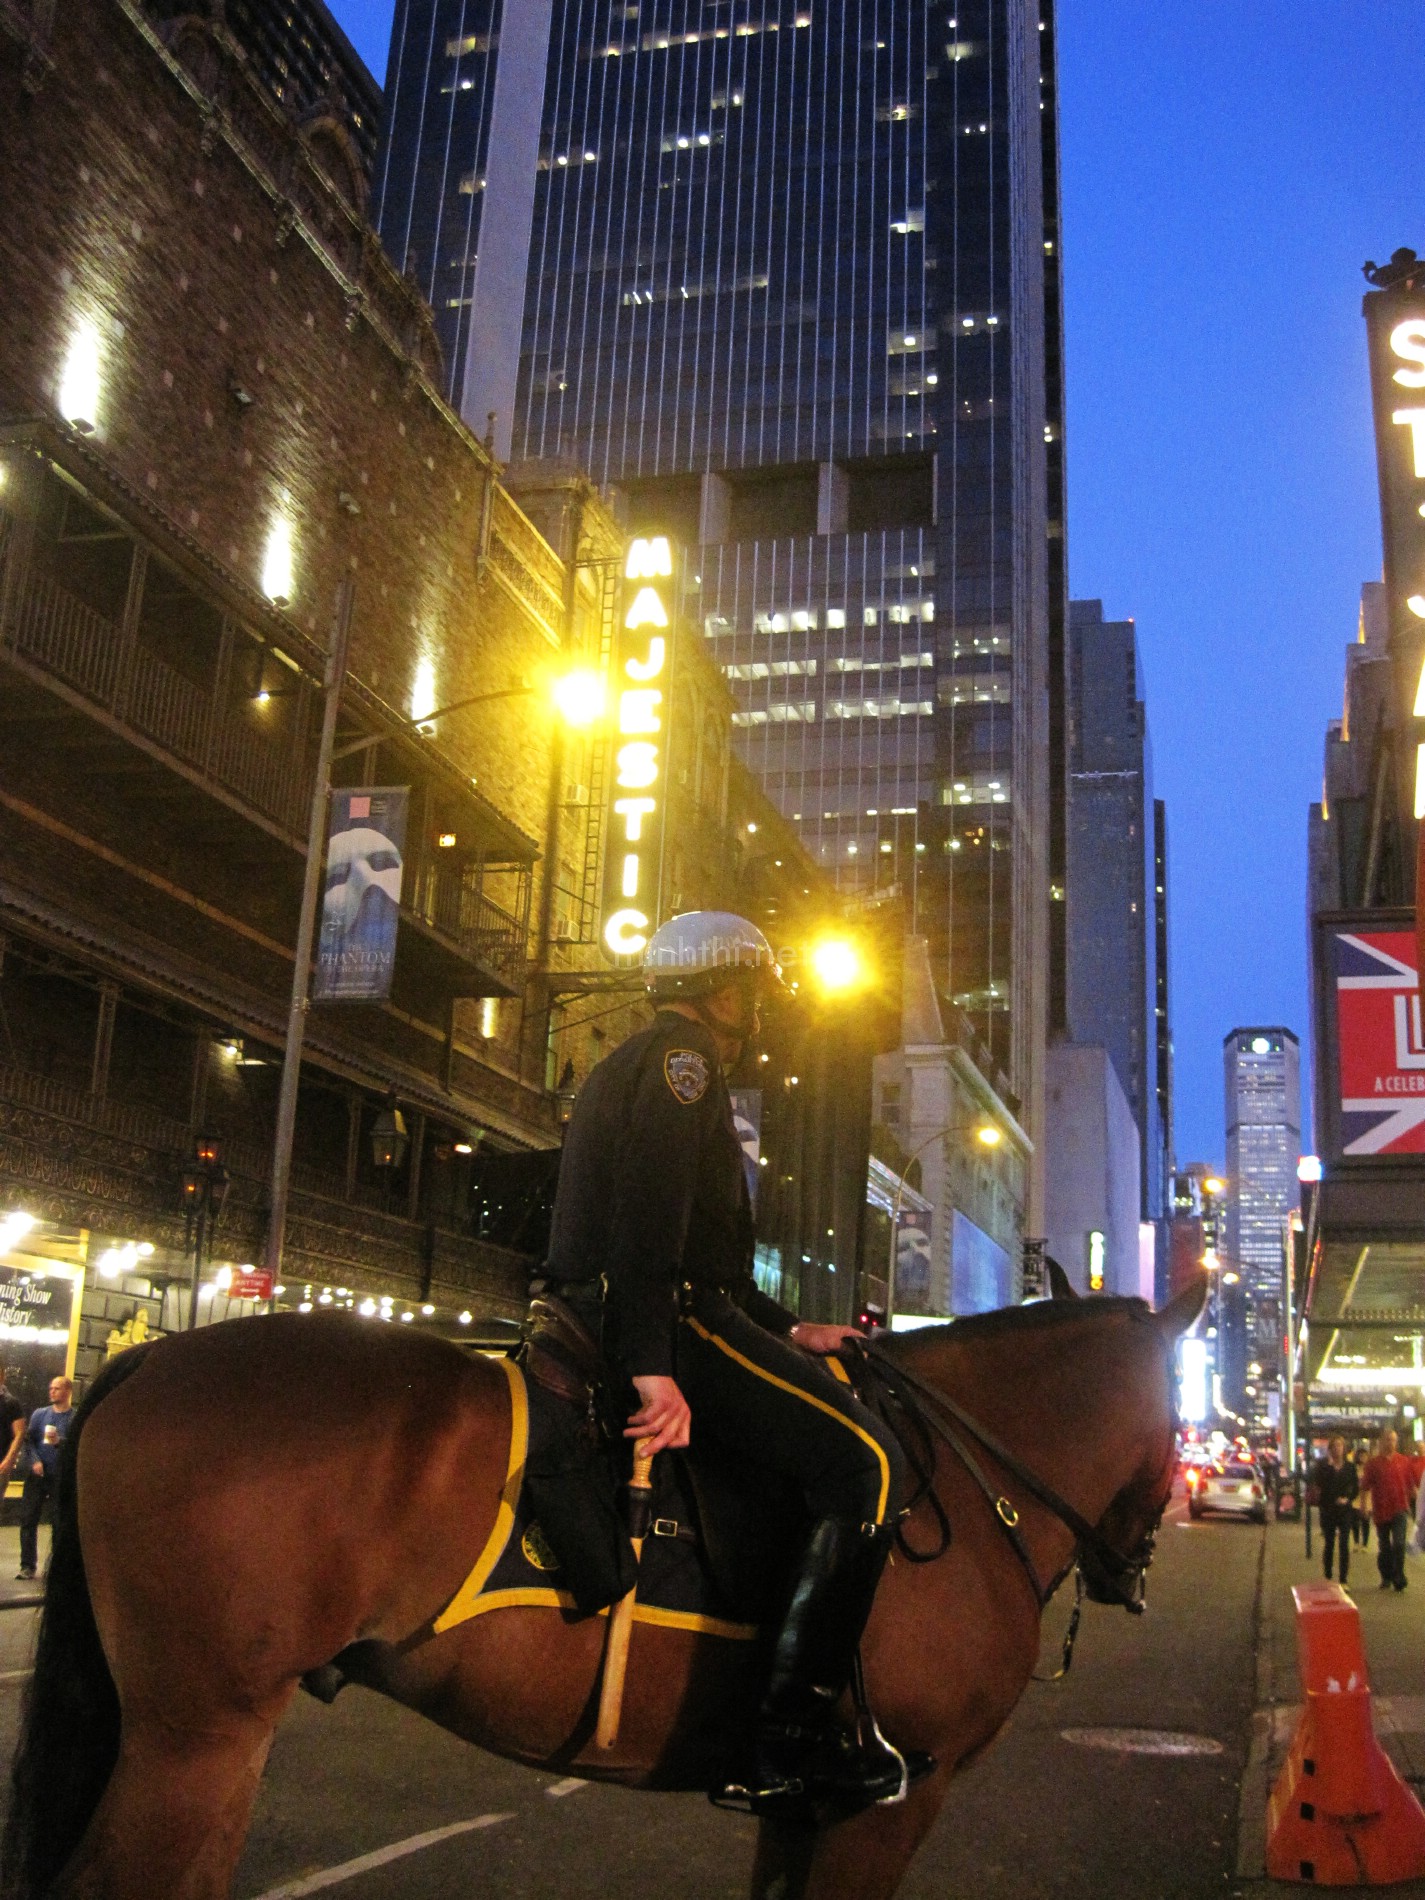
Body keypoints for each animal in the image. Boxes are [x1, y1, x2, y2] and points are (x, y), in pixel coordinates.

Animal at [1, 1273, 1205, 1900]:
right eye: (1177, 1427)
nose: (1137, 1563)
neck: (957, 1469)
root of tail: (154, 1354)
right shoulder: (898, 1795)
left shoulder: (806, 1805)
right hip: (201, 1734)